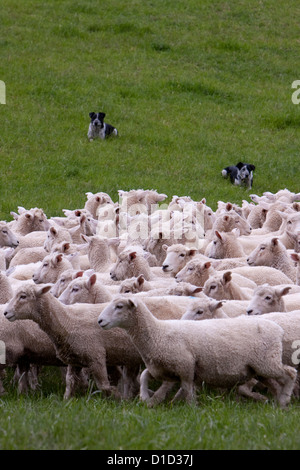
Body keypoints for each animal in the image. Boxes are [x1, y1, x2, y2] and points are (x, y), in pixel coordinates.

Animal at [3, 284, 142, 398]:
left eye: (23, 296)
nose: (5, 312)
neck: (68, 320)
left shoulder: (96, 356)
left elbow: (104, 385)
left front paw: (117, 396)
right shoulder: (74, 358)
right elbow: (70, 382)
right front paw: (68, 400)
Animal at [99, 298, 298, 408]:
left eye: (119, 306)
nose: (100, 321)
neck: (158, 333)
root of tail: (277, 329)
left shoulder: (185, 366)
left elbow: (187, 387)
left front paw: (191, 407)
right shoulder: (164, 370)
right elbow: (144, 376)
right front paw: (147, 398)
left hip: (267, 363)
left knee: (290, 373)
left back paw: (284, 400)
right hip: (258, 369)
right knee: (277, 383)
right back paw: (280, 403)